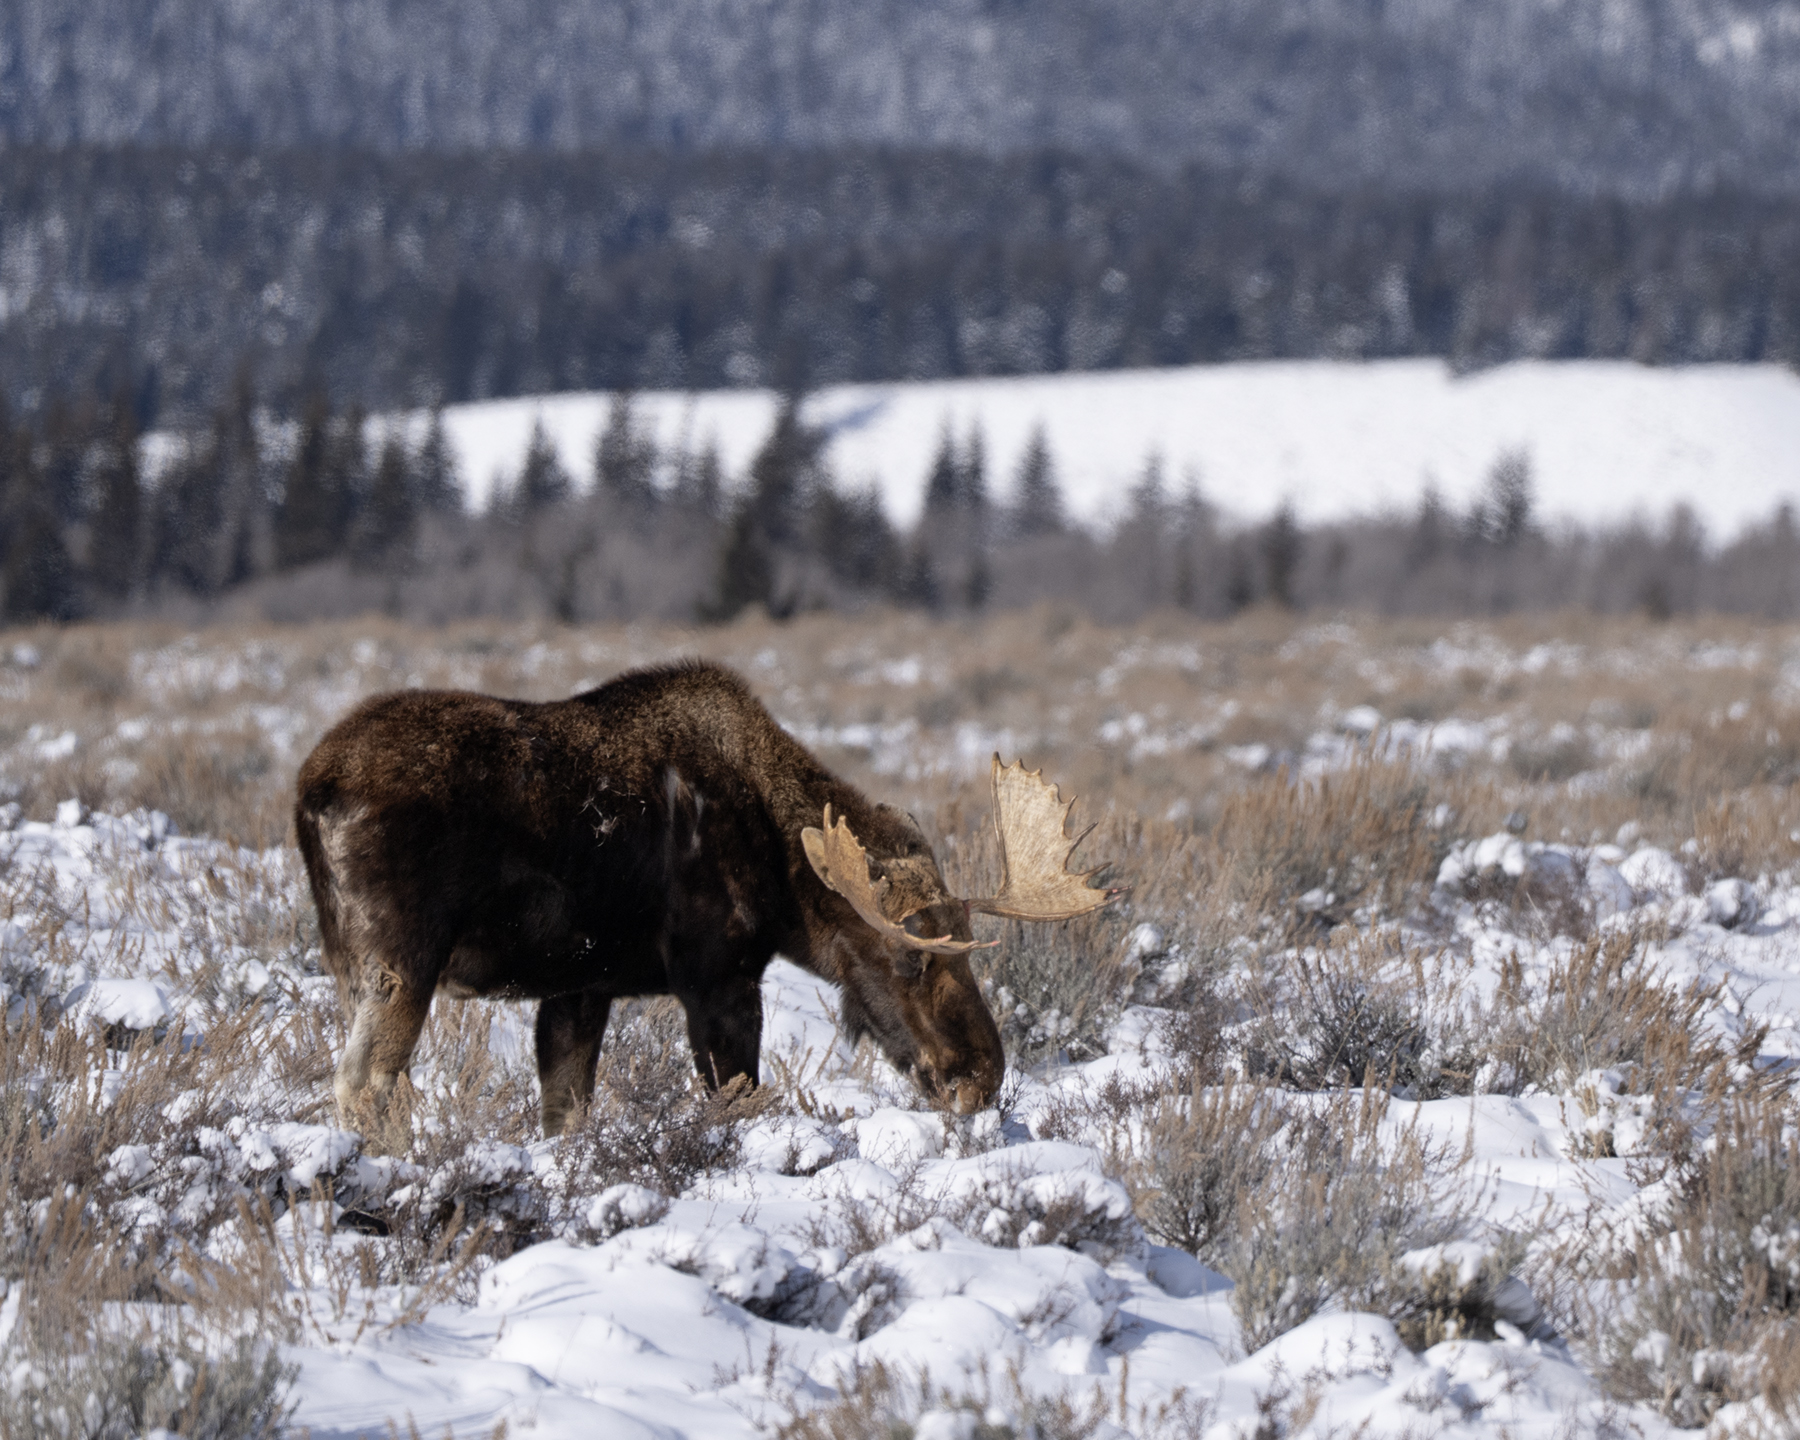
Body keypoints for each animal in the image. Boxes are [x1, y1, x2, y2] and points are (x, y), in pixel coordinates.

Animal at [294, 660, 1125, 1139]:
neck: (783, 873)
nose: (980, 1078)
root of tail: (313, 791)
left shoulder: (578, 988)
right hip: (399, 964)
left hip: (350, 968)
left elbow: (565, 1115)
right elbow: (735, 1098)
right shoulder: (716, 977)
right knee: (364, 1087)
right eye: (906, 958)